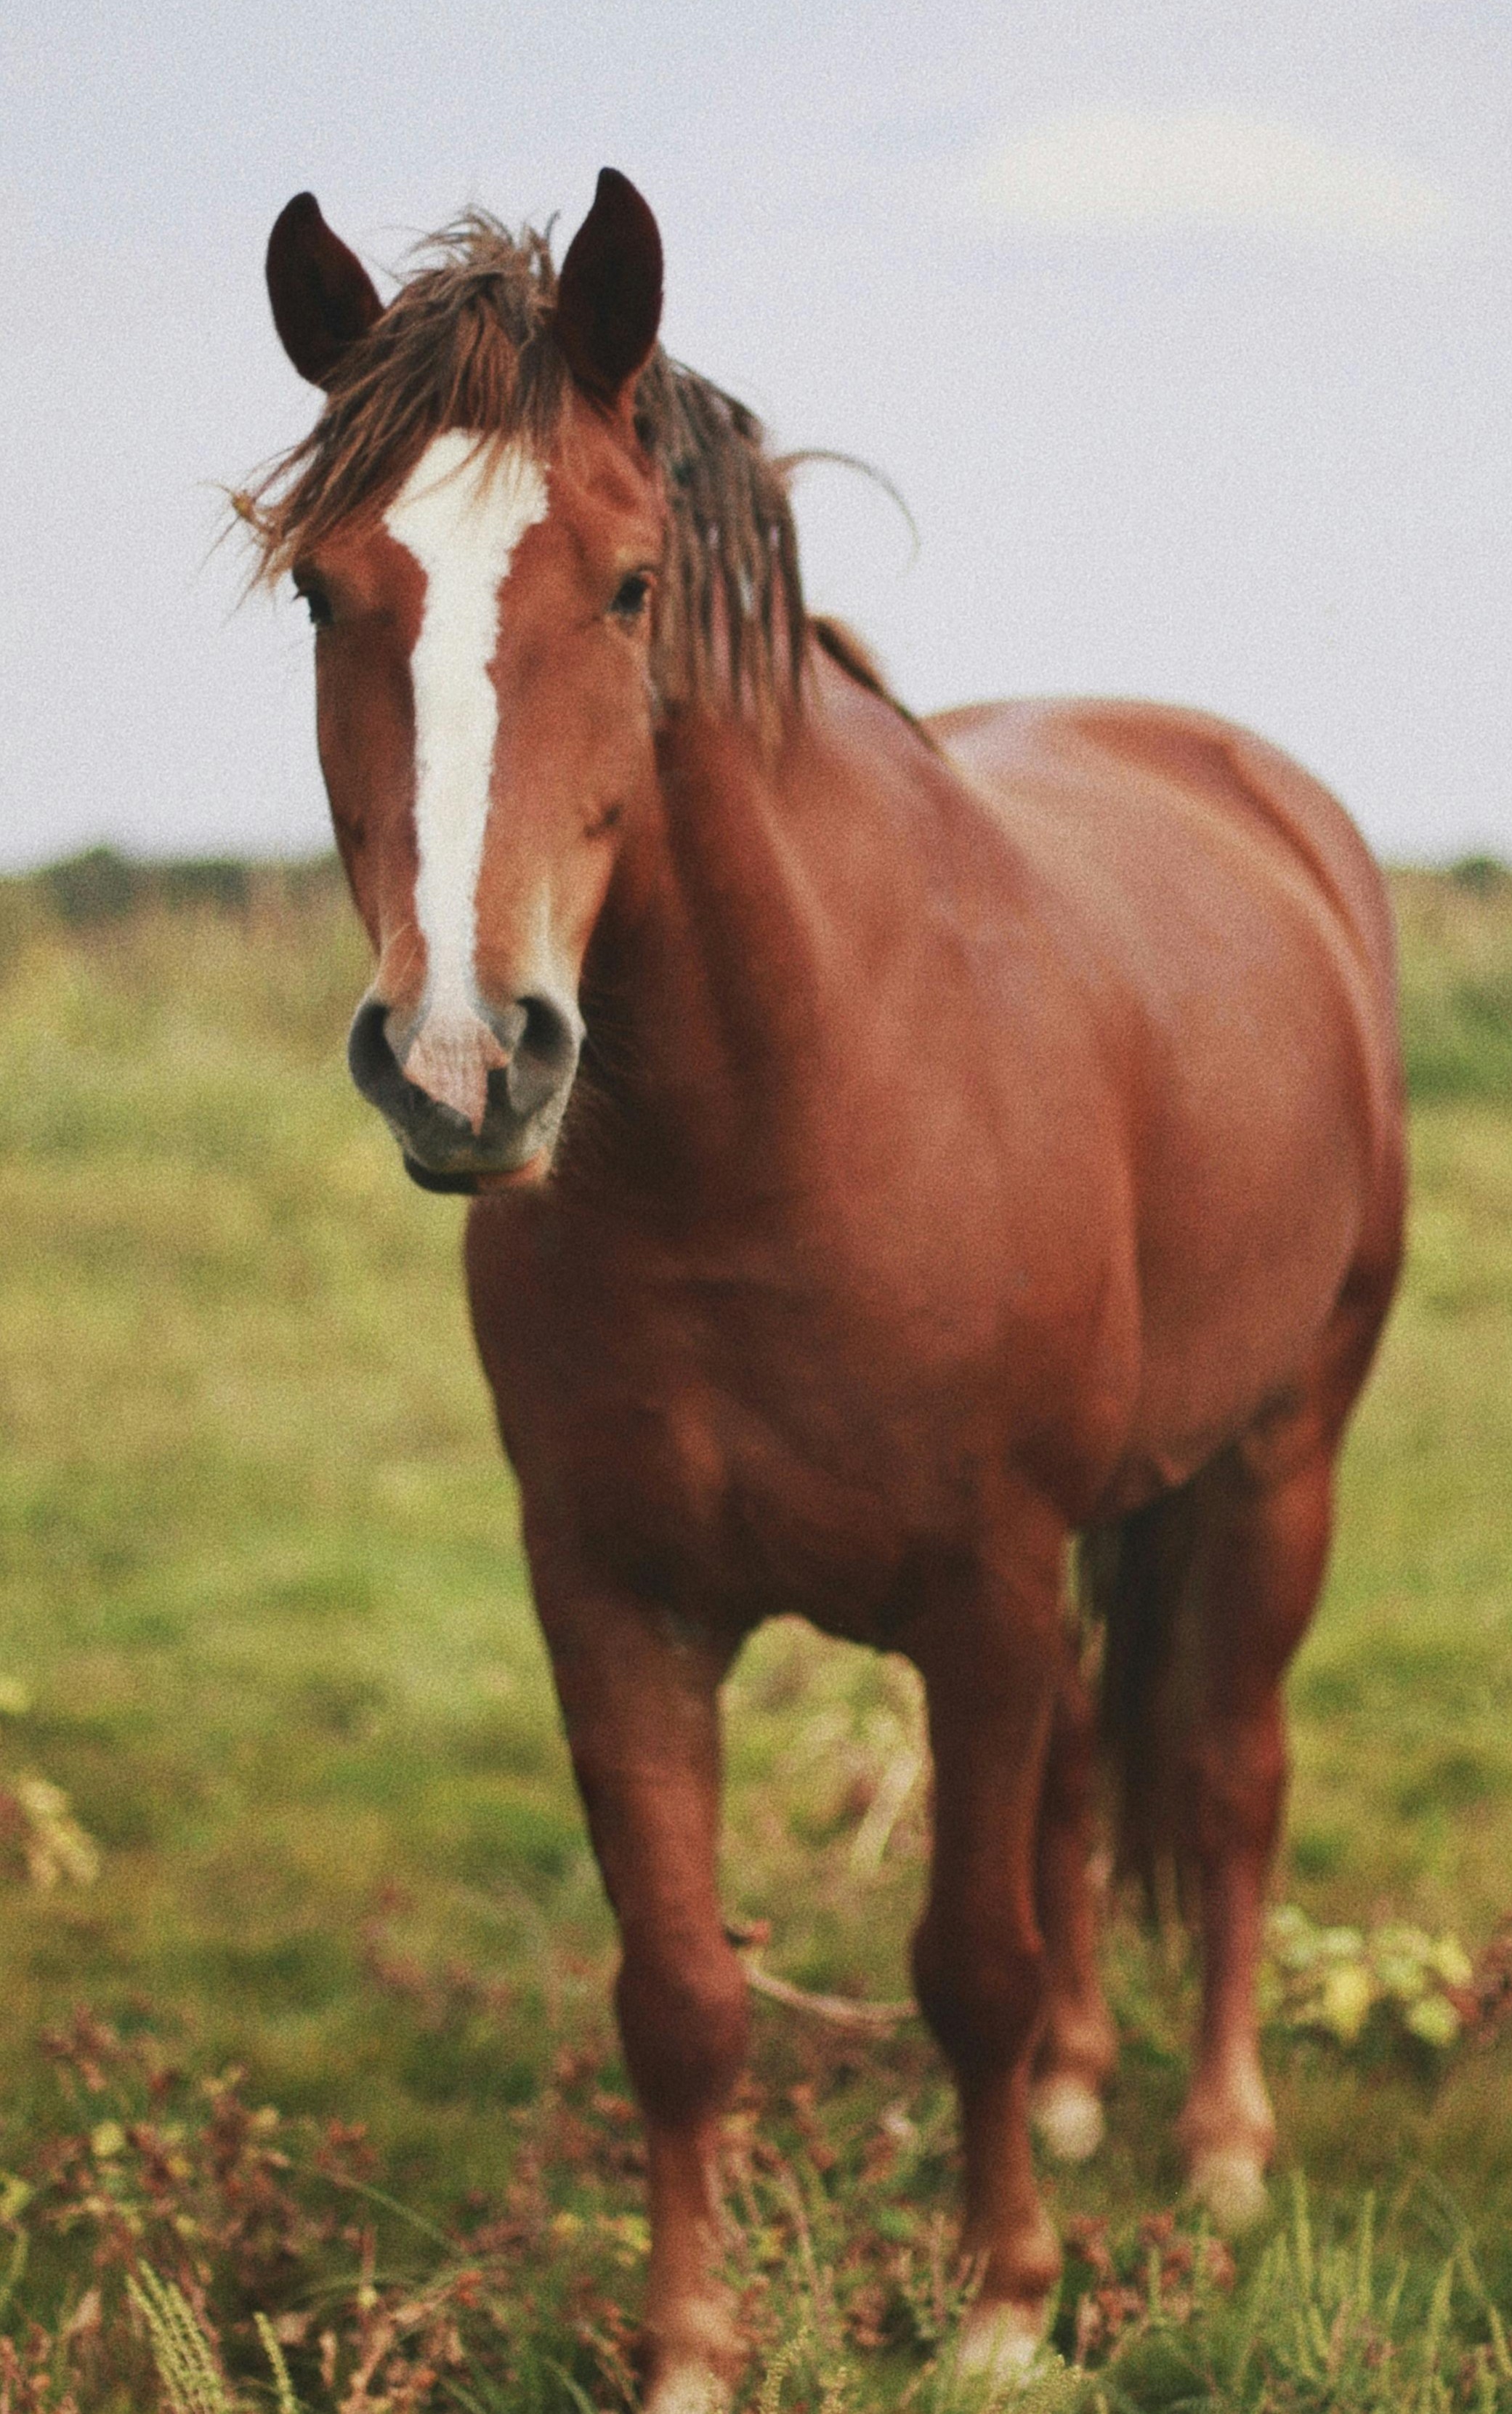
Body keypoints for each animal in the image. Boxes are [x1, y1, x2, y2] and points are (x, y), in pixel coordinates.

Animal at [249, 169, 1405, 2409]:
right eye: (328, 597)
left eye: (627, 587)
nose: (463, 1062)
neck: (780, 1126)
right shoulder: (616, 1600)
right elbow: (683, 1992)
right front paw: (694, 2347)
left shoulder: (979, 1582)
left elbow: (965, 1955)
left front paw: (1005, 2310)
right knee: (1082, 1787)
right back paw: (1084, 2094)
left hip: (1278, 1456)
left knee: (1226, 1773)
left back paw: (1219, 2144)